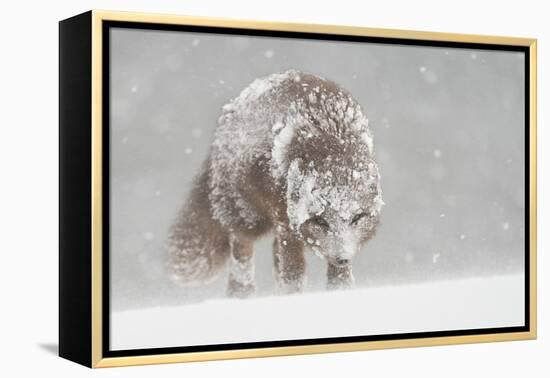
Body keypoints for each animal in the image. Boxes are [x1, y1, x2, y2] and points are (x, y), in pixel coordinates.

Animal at [167, 69, 384, 296]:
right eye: (320, 221)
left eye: (357, 217)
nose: (342, 258)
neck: (330, 136)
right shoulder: (287, 226)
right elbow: (293, 277)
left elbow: (339, 281)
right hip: (247, 219)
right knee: (242, 261)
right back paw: (242, 295)